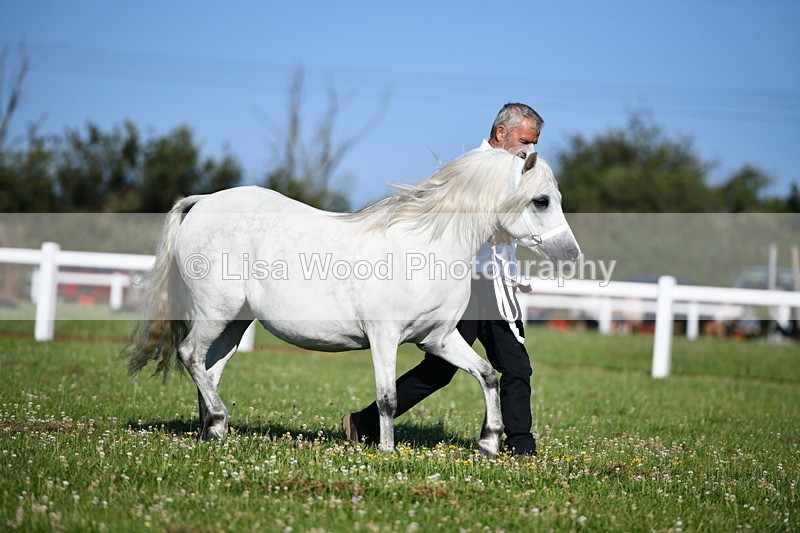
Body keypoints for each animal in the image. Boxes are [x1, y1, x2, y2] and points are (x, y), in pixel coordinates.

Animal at [125, 148, 580, 456]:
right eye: (541, 200)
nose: (571, 255)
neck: (426, 248)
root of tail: (202, 201)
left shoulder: (438, 339)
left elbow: (488, 375)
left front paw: (488, 443)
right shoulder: (384, 337)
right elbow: (388, 398)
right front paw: (388, 451)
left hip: (235, 322)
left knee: (210, 368)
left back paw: (213, 433)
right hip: (215, 313)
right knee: (190, 355)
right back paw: (218, 422)